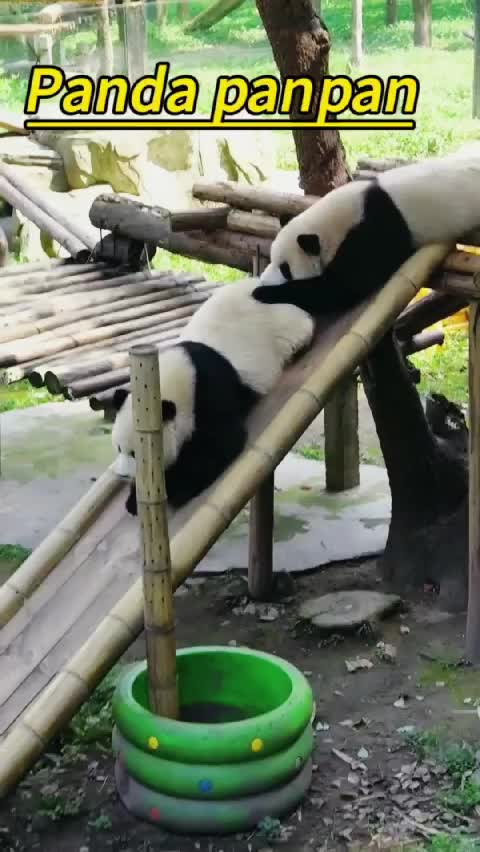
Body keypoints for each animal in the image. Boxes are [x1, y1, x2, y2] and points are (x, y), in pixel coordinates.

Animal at [111, 276, 314, 515]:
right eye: (118, 448)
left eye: (136, 454)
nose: (122, 475)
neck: (176, 373)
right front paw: (134, 498)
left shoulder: (208, 390)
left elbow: (221, 441)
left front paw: (177, 488)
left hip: (285, 324)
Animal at [252, 147, 480, 316]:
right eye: (272, 260)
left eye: (286, 269)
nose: (264, 279)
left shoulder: (370, 233)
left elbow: (340, 290)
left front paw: (262, 292)